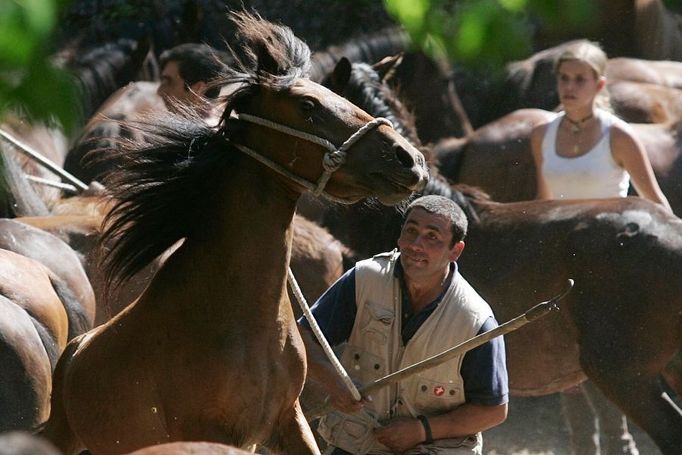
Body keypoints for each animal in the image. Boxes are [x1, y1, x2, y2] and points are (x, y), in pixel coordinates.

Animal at [42, 11, 424, 455]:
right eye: (308, 106)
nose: (406, 157)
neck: (243, 322)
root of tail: (74, 353)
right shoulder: (213, 433)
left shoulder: (288, 419)